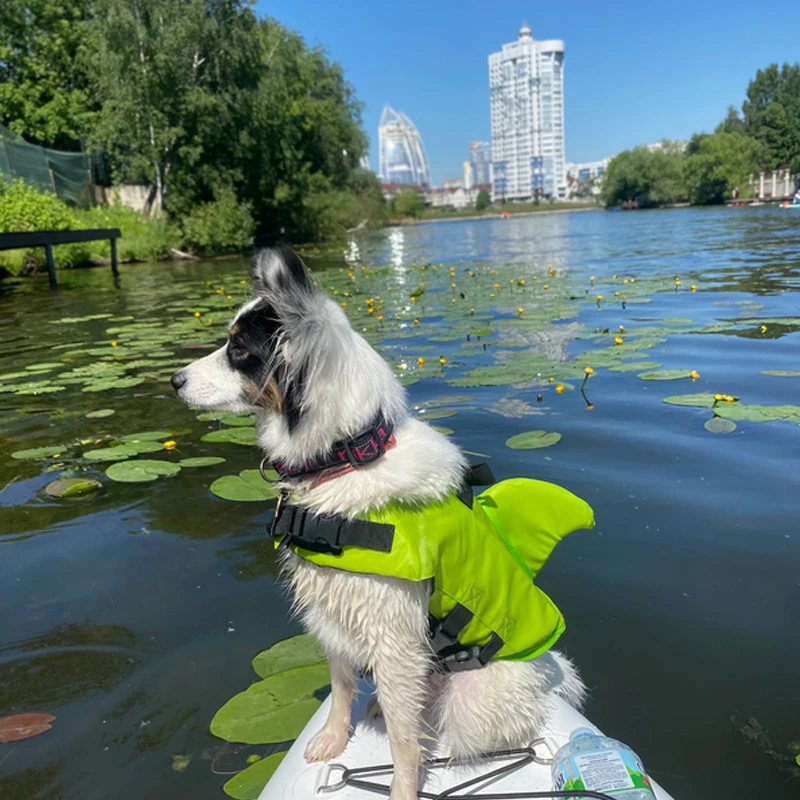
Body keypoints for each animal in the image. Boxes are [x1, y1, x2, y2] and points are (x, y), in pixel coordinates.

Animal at [172, 247, 585, 800]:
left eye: (239, 349)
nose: (174, 380)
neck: (347, 456)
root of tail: (546, 670)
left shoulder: (394, 638)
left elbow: (405, 744)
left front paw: (402, 787)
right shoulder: (332, 613)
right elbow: (342, 683)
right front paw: (333, 739)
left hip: (473, 698)